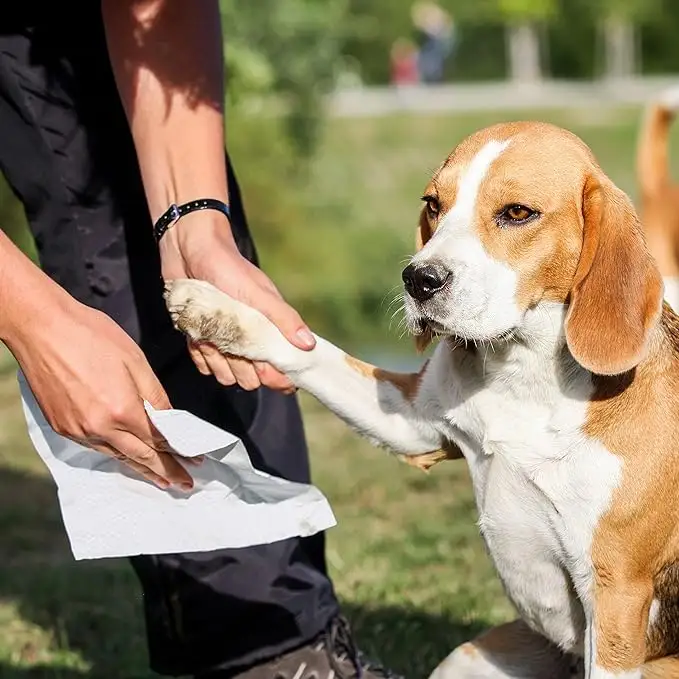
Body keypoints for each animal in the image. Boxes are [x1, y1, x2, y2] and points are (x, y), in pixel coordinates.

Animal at [167, 123, 679, 679]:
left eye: (517, 213)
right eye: (434, 204)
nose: (419, 279)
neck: (522, 374)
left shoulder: (615, 593)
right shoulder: (412, 424)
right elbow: (313, 353)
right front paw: (219, 311)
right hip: (464, 662)